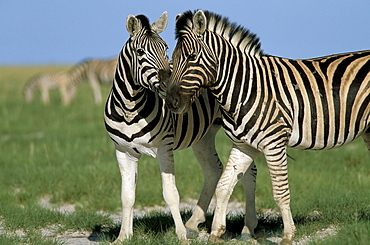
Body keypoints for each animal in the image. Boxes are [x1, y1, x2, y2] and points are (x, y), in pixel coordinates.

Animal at [103, 11, 260, 243]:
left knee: (248, 173)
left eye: (166, 48)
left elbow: (171, 194)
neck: (129, 108)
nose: (170, 88)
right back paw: (194, 222)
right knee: (213, 170)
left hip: (240, 131)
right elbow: (127, 196)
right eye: (140, 52)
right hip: (204, 135)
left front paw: (180, 236)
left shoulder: (163, 148)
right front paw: (124, 236)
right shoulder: (123, 151)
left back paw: (248, 228)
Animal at [165, 9, 370, 243]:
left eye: (191, 57)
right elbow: (224, 185)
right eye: (172, 58)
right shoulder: (243, 145)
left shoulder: (274, 143)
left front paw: (288, 235)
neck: (246, 88)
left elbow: (280, 192)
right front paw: (216, 233)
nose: (171, 101)